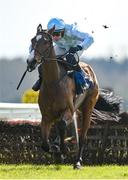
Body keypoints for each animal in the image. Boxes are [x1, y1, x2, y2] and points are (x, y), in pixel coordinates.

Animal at [27, 23, 99, 169]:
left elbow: (61, 125)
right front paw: (56, 149)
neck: (53, 82)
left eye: (46, 42)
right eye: (32, 40)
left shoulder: (68, 110)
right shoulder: (46, 115)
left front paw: (64, 149)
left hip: (87, 107)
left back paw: (78, 162)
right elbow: (44, 144)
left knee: (82, 137)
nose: (31, 61)